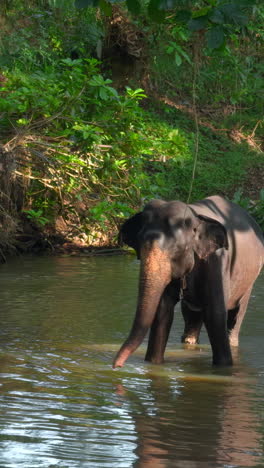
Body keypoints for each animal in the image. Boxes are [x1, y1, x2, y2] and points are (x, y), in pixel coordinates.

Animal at [113, 196, 264, 368]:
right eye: (139, 244)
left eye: (179, 248)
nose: (116, 366)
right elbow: (163, 312)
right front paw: (154, 364)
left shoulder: (217, 261)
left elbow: (216, 314)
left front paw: (224, 367)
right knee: (191, 317)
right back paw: (189, 342)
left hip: (249, 281)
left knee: (236, 316)